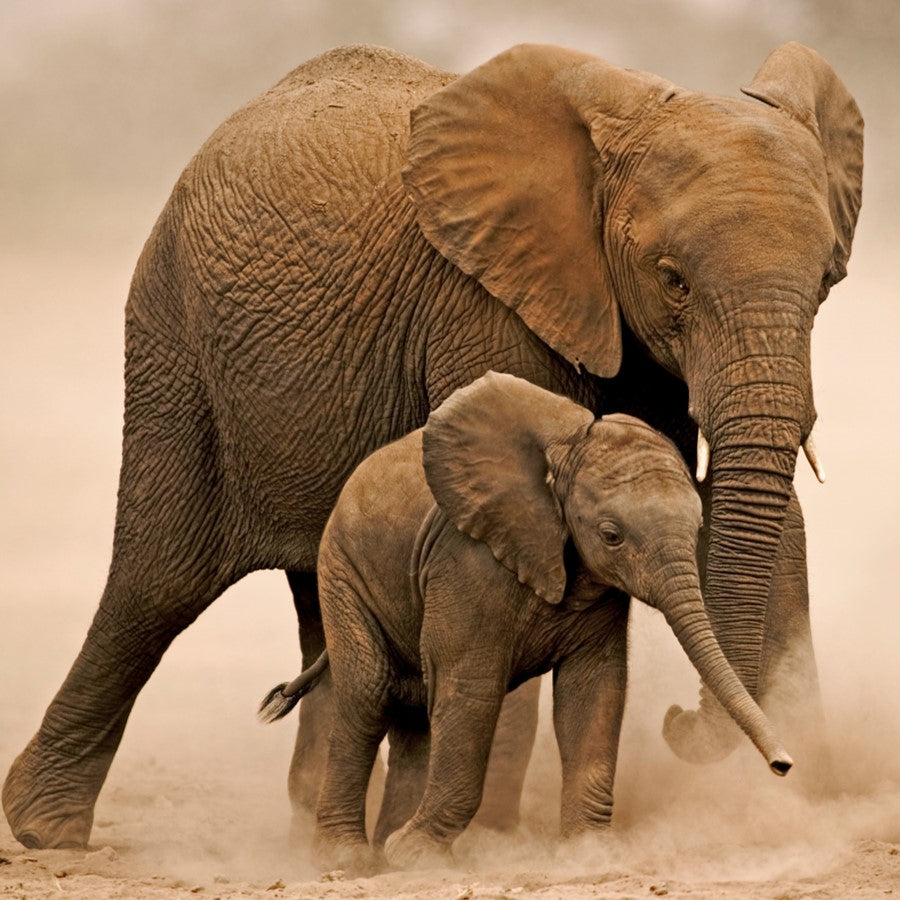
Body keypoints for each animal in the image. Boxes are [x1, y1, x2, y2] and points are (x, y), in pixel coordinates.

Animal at [259, 373, 793, 872]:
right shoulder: (468, 560)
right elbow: (471, 691)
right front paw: (418, 856)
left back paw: (385, 849)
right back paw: (348, 859)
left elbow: (593, 690)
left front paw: (592, 854)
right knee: (369, 695)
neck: (564, 457)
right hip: (342, 570)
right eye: (611, 535)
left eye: (699, 527)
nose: (784, 765)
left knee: (413, 711)